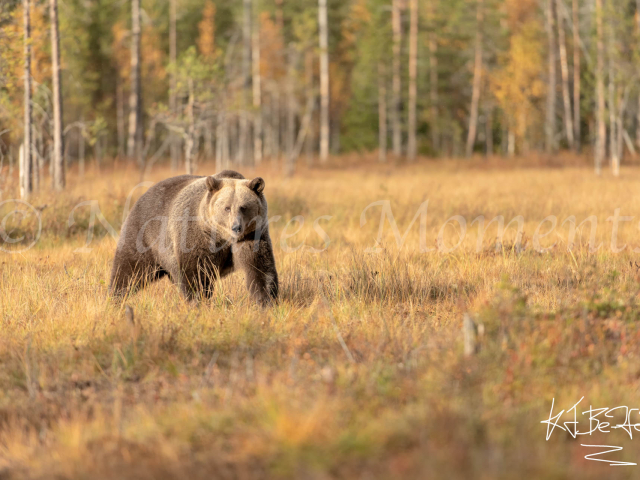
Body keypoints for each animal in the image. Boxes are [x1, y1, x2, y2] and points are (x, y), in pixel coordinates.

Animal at [109, 170, 278, 304]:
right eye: (227, 208)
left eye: (243, 207)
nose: (236, 227)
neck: (223, 237)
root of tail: (143, 194)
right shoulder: (196, 235)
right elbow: (196, 271)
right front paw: (199, 300)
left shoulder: (252, 236)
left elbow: (259, 268)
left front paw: (266, 300)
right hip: (145, 236)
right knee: (129, 270)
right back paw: (115, 297)